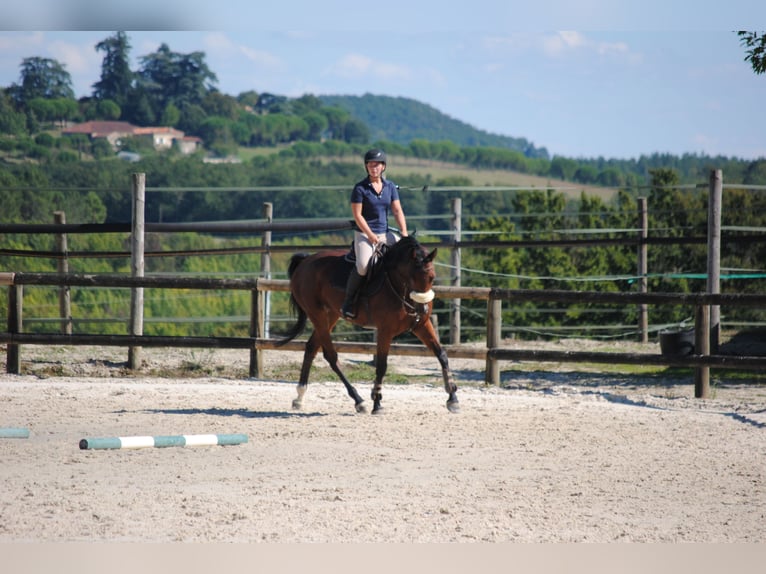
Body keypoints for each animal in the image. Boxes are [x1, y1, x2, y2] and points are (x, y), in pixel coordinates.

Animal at [278, 236, 462, 416]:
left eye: (432, 277)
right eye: (411, 277)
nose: (421, 309)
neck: (396, 284)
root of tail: (306, 261)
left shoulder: (421, 325)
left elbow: (441, 354)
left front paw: (453, 398)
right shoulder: (385, 330)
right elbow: (381, 365)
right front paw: (377, 403)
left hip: (330, 316)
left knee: (311, 347)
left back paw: (299, 397)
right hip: (317, 315)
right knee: (331, 356)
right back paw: (358, 401)